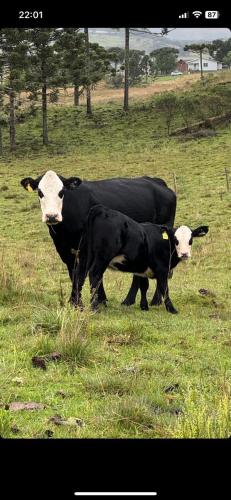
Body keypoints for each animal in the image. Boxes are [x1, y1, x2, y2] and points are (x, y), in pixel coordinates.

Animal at [21, 170, 177, 306]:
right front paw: (79, 301)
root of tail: (157, 182)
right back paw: (130, 300)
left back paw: (155, 300)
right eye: (40, 192)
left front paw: (91, 301)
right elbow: (73, 273)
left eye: (61, 192)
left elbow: (85, 273)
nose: (51, 216)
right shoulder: (63, 248)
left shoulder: (87, 247)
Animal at [76, 203, 209, 312]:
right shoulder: (162, 269)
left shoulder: (142, 268)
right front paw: (171, 309)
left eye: (190, 240)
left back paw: (78, 305)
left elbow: (144, 286)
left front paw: (144, 306)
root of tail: (101, 209)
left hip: (84, 254)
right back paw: (94, 307)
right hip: (102, 257)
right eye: (175, 240)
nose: (185, 254)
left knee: (80, 275)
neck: (164, 243)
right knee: (94, 275)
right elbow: (164, 288)